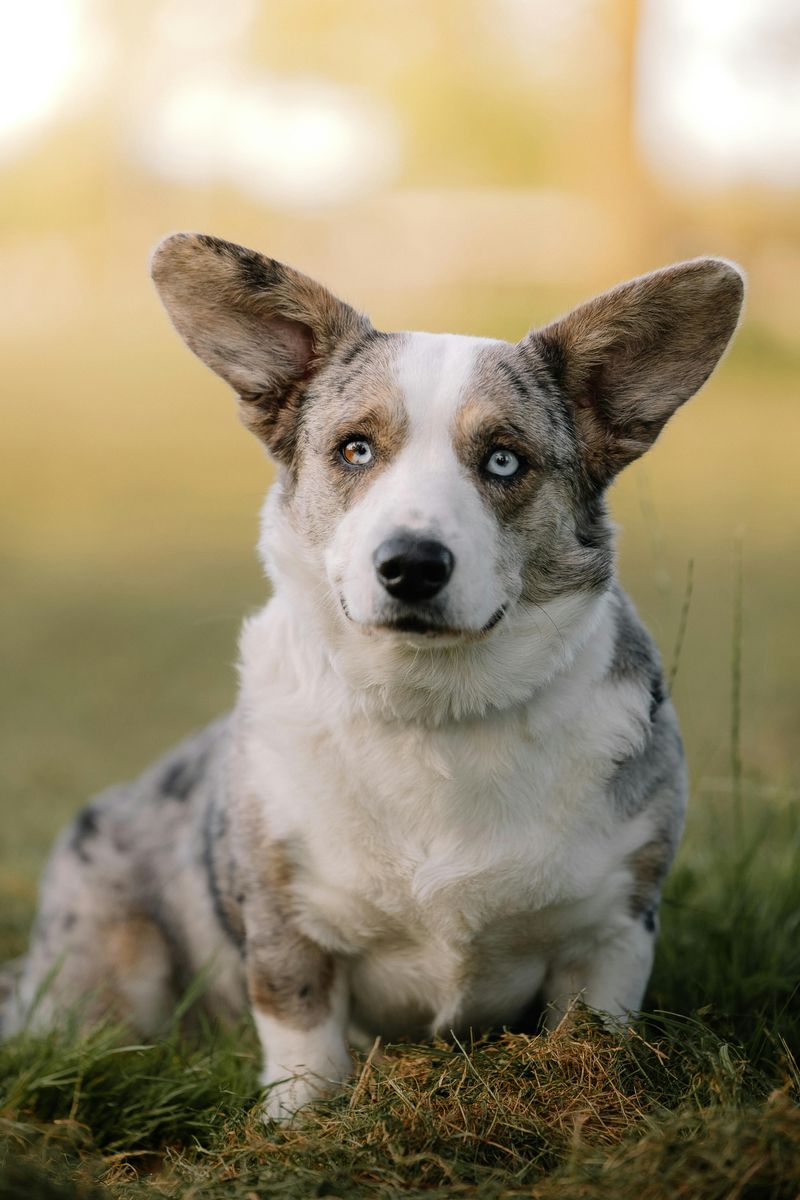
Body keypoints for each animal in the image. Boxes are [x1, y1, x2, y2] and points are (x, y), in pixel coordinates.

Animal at [4, 236, 743, 1123]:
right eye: (355, 449)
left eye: (505, 460)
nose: (412, 566)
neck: (432, 708)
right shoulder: (287, 927)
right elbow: (302, 1042)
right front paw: (296, 1125)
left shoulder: (612, 932)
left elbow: (594, 1031)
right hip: (107, 985)